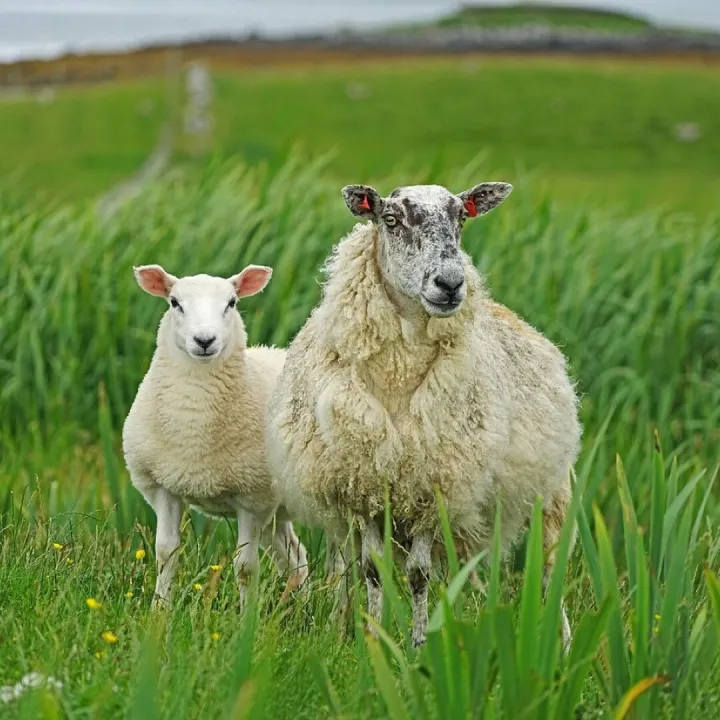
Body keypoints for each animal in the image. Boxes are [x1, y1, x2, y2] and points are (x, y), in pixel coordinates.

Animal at [123, 263, 308, 609]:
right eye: (174, 302)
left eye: (231, 303)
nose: (204, 340)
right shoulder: (164, 487)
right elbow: (166, 553)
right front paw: (159, 611)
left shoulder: (253, 499)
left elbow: (245, 567)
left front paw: (247, 618)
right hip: (278, 512)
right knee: (296, 557)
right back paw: (302, 609)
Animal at [267, 182, 581, 648]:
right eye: (391, 219)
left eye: (462, 217)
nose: (450, 283)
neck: (398, 374)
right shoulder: (366, 488)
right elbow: (372, 570)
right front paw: (372, 642)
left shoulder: (432, 486)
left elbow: (418, 574)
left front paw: (417, 647)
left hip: (550, 494)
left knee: (548, 572)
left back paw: (561, 645)